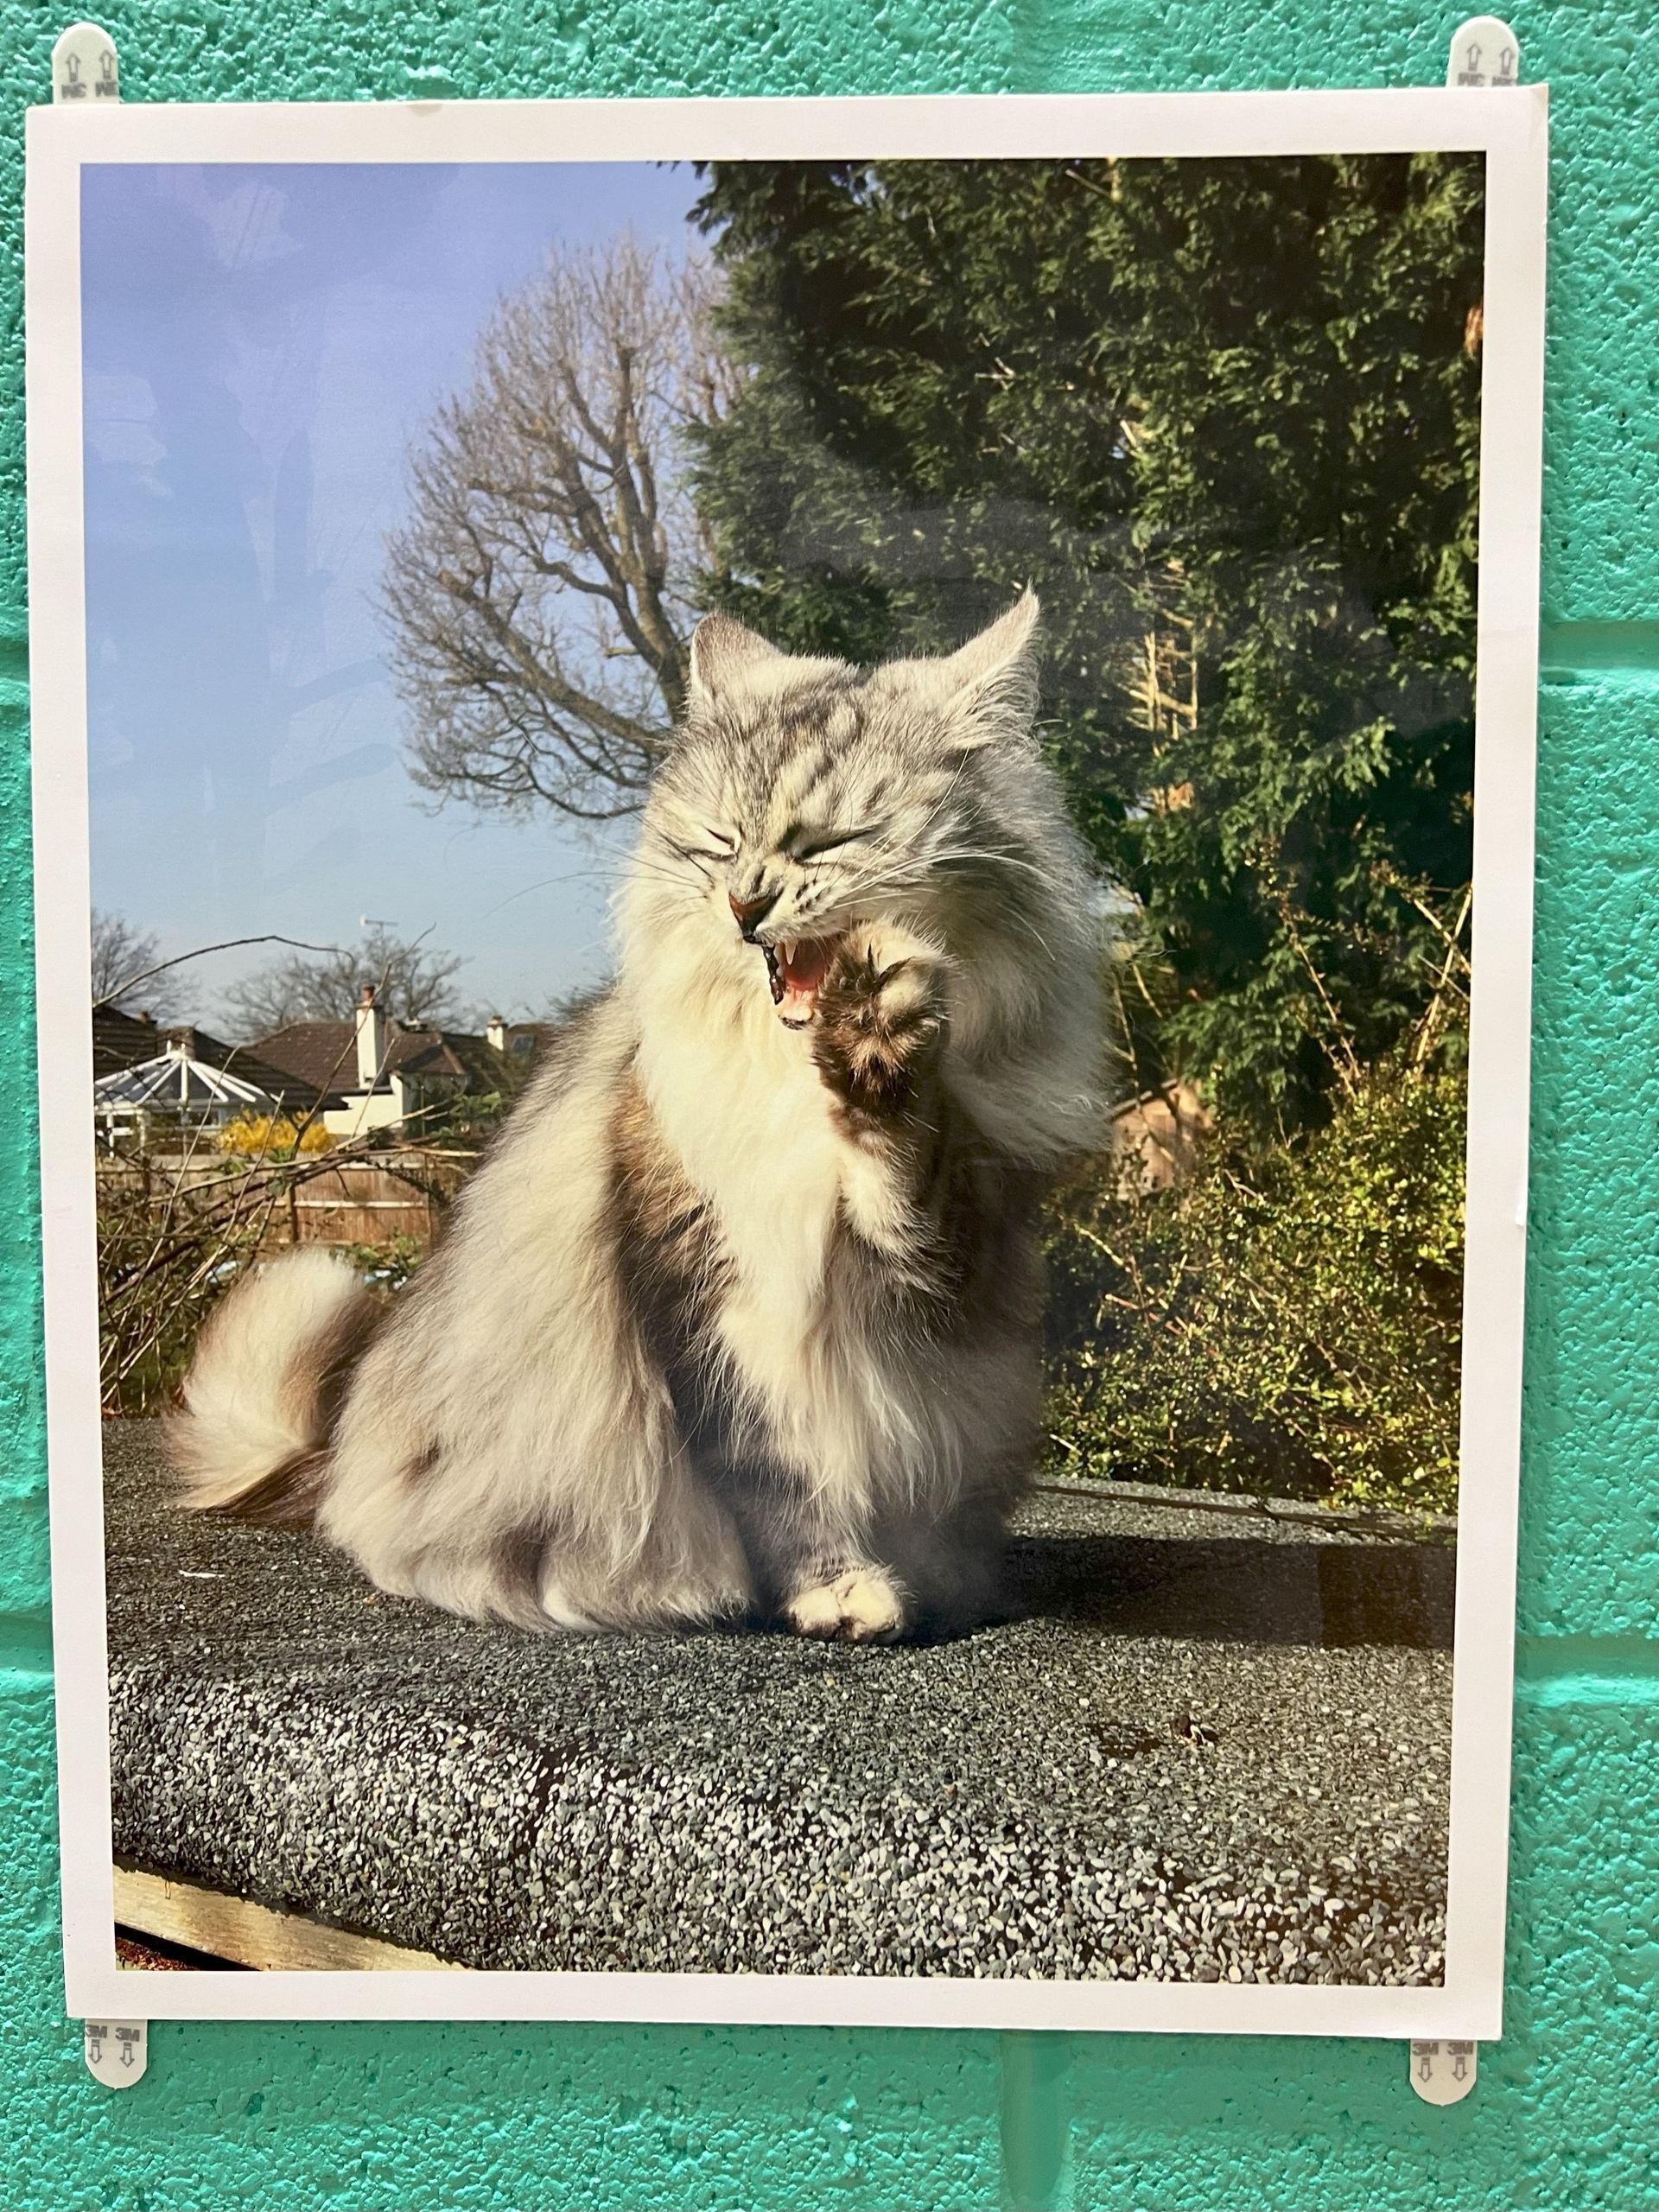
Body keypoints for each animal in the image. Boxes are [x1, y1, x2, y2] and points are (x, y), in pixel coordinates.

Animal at [168, 592, 1106, 1640]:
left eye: (824, 842)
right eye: (716, 846)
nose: (744, 903)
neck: (790, 1085)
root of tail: (337, 1461)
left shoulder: (959, 1240)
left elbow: (904, 1167)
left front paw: (879, 1049)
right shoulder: (701, 1285)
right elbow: (774, 1474)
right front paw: (833, 1589)